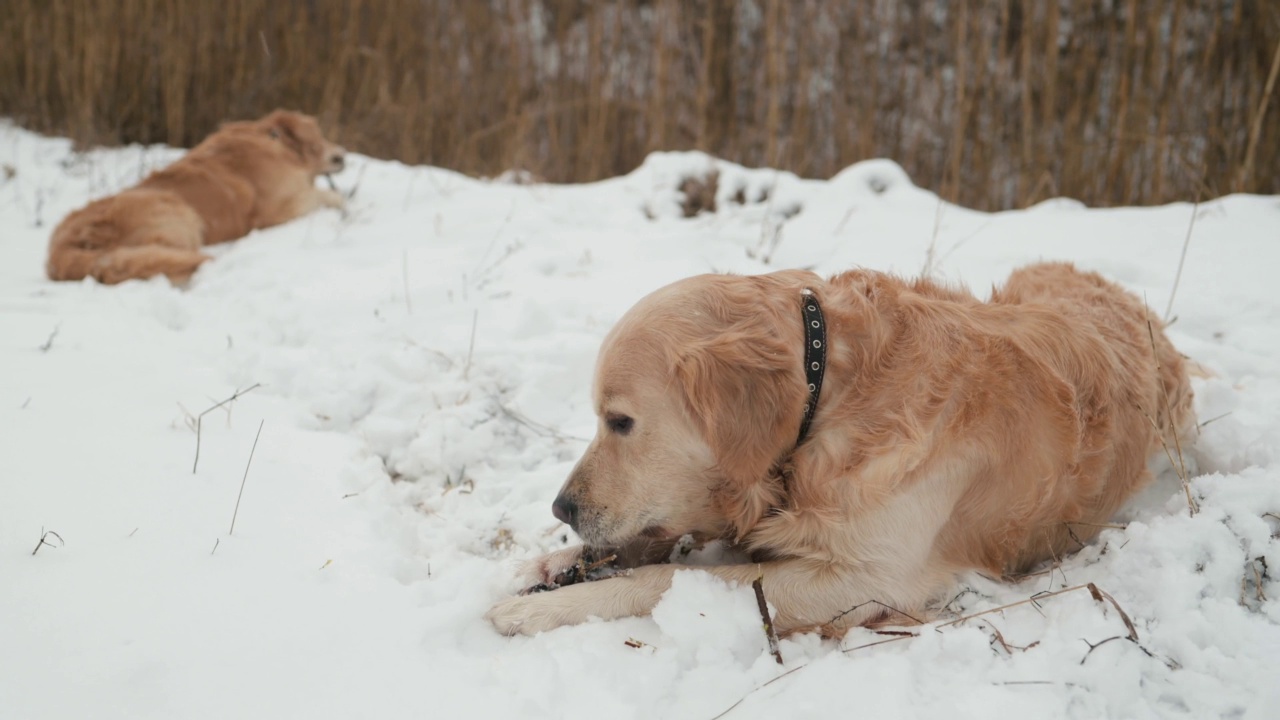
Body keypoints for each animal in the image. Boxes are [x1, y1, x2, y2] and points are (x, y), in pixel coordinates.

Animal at [46, 109, 345, 283]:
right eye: (319, 136)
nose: (342, 155)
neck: (275, 141)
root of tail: (60, 250)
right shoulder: (279, 210)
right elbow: (332, 196)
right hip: (176, 212)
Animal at [483, 262, 1192, 632]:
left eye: (620, 421)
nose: (562, 509)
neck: (828, 398)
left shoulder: (874, 578)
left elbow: (668, 578)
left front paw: (539, 609)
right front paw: (547, 565)